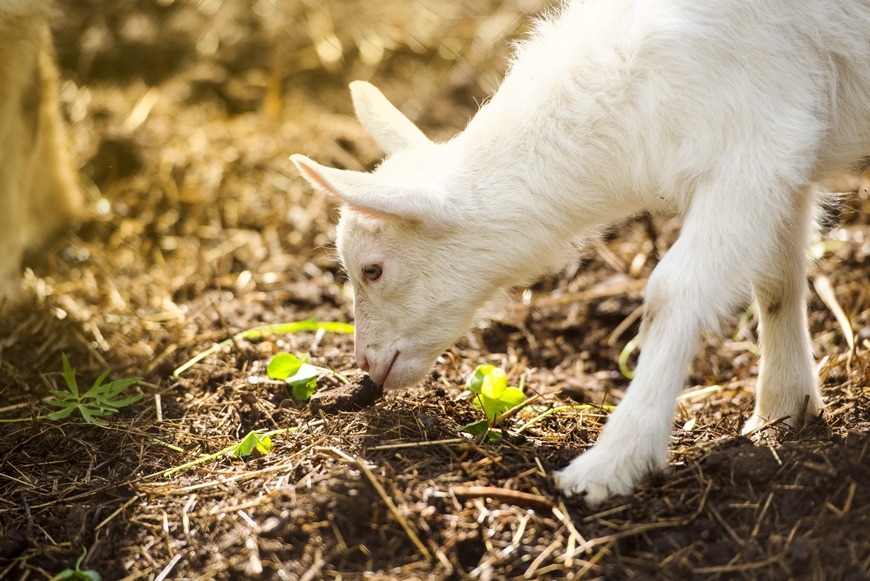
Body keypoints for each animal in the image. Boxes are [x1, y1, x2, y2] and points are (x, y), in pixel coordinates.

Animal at [294, 0, 870, 506]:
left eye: (372, 270)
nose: (365, 363)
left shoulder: (756, 143)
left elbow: (673, 291)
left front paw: (610, 464)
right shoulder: (784, 159)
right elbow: (776, 279)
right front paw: (782, 411)